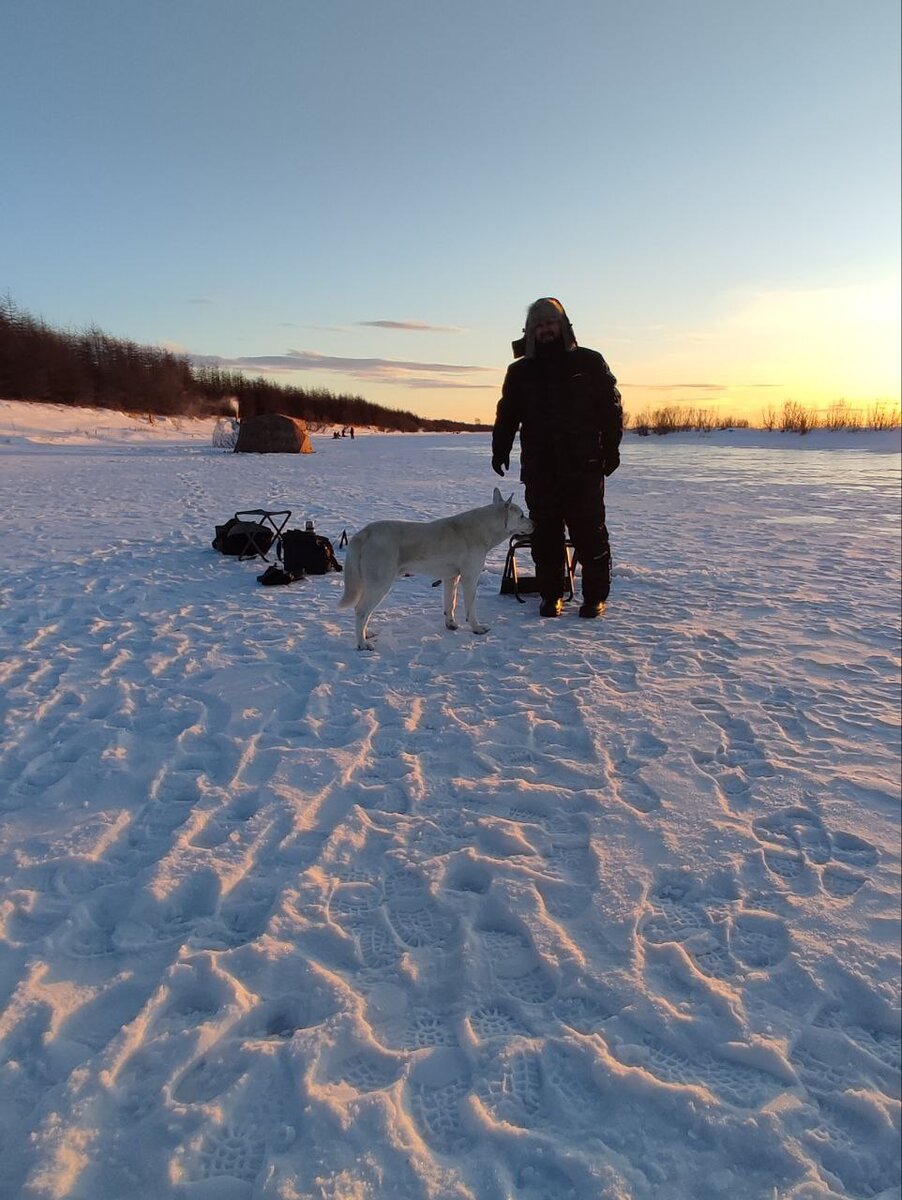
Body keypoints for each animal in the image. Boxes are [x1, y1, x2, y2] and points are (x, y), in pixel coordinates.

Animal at [340, 487, 532, 652]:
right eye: (522, 515)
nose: (535, 523)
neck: (483, 530)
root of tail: (364, 533)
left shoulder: (451, 577)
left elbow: (450, 603)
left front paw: (451, 624)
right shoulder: (470, 577)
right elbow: (470, 607)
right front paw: (477, 628)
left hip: (372, 585)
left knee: (363, 612)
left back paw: (366, 634)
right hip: (380, 584)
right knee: (361, 611)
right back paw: (362, 644)